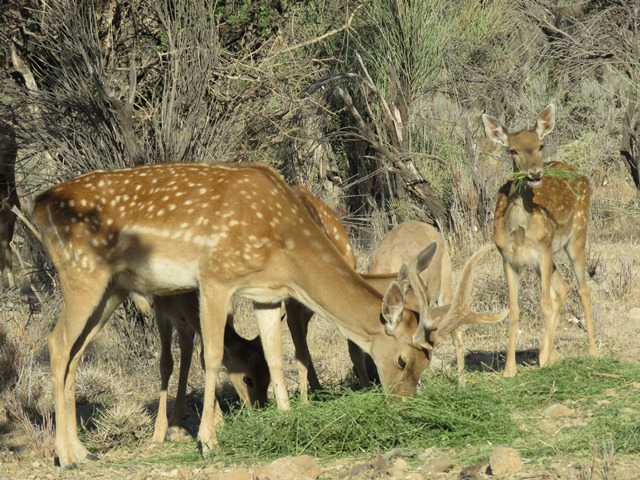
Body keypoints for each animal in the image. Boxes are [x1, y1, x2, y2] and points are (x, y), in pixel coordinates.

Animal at [33, 160, 504, 464]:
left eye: (427, 362)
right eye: (403, 359)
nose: (405, 407)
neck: (287, 246)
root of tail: (38, 203)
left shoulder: (266, 294)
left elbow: (277, 355)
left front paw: (286, 420)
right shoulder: (216, 277)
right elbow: (214, 356)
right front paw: (208, 441)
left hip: (112, 289)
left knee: (74, 354)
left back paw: (83, 452)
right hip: (82, 274)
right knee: (56, 344)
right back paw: (65, 456)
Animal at [482, 103, 596, 376]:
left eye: (540, 145)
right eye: (512, 149)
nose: (535, 174)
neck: (520, 230)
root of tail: (581, 174)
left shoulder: (542, 250)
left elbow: (544, 303)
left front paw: (544, 361)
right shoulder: (509, 258)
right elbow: (514, 310)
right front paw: (509, 369)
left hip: (577, 235)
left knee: (582, 289)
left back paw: (592, 352)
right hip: (547, 256)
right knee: (562, 288)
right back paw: (550, 353)